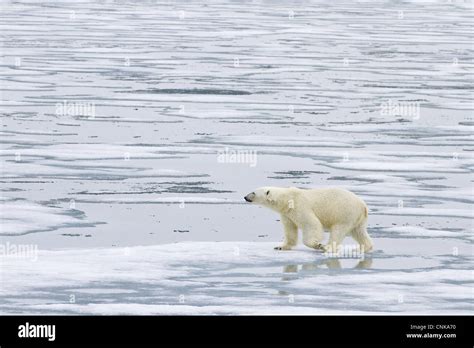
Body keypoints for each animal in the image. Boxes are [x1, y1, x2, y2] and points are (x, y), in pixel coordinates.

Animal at [244, 186, 374, 251]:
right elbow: (290, 229)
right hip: (357, 218)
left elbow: (312, 224)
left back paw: (327, 247)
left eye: (253, 192)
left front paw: (317, 245)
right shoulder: (287, 213)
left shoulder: (299, 206)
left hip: (345, 213)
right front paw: (280, 246)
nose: (245, 197)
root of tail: (363, 206)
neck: (287, 199)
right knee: (359, 232)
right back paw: (364, 247)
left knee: (338, 230)